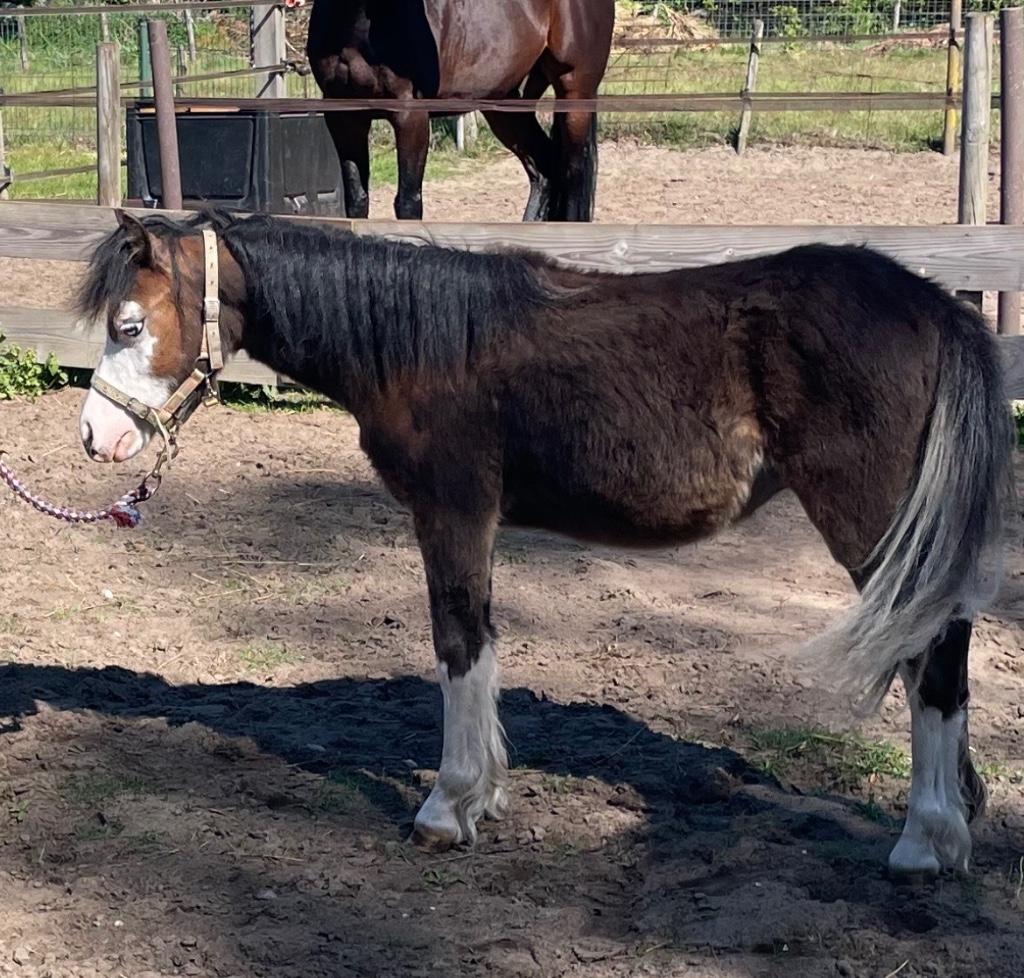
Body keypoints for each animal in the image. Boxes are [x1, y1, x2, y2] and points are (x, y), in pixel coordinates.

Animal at [77, 210, 1015, 875]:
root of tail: (935, 306)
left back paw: (925, 841)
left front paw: (446, 808)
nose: (95, 437)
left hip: (874, 525)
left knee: (932, 655)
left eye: (129, 327)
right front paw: (485, 797)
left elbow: (458, 643)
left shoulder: (451, 512)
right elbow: (485, 645)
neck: (424, 345)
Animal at [304, 0, 615, 221]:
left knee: (573, 175)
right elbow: (357, 199)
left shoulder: (410, 115)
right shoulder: (344, 117)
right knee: (544, 169)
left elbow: (408, 202)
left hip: (574, 91)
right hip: (503, 104)